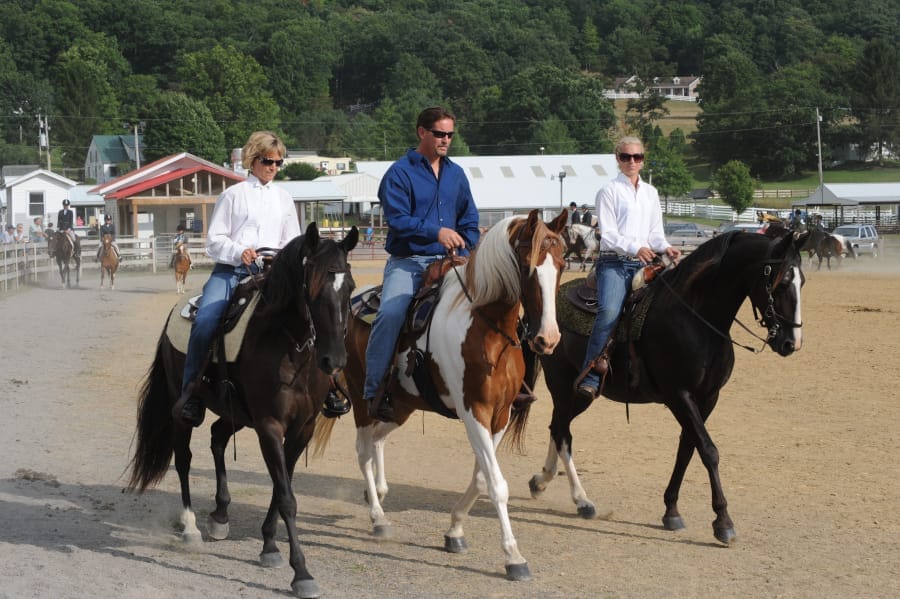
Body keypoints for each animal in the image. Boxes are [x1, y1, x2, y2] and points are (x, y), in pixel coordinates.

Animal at [127, 225, 358, 599]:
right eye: (312, 286)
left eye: (349, 286)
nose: (334, 361)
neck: (287, 345)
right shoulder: (269, 426)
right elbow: (287, 497)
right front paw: (301, 572)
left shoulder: (302, 429)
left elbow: (281, 487)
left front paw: (269, 547)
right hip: (182, 407)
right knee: (184, 458)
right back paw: (190, 527)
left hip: (235, 413)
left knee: (217, 437)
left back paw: (220, 515)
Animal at [316, 210, 568, 580]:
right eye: (527, 267)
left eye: (562, 264)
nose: (547, 339)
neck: (486, 328)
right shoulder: (473, 411)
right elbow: (496, 484)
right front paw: (514, 557)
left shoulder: (501, 415)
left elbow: (481, 477)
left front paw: (455, 530)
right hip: (364, 399)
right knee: (363, 449)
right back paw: (377, 517)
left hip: (400, 406)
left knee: (378, 440)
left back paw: (378, 490)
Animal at [528, 227, 808, 548]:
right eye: (782, 282)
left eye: (802, 281)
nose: (791, 343)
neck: (698, 317)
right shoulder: (679, 395)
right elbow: (708, 450)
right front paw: (723, 521)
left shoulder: (707, 398)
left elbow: (687, 448)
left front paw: (671, 510)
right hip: (564, 386)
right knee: (563, 434)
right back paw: (582, 500)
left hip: (578, 395)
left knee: (556, 427)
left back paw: (541, 482)